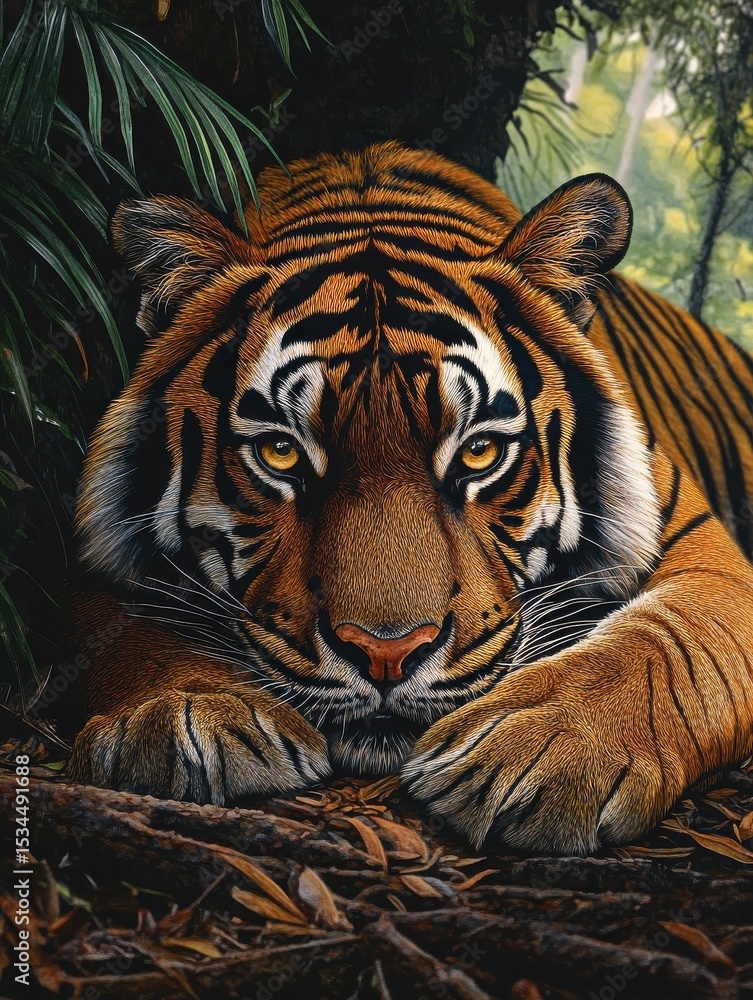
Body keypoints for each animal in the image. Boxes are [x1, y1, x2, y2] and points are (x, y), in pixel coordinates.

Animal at [65, 140, 753, 856]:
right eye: (281, 452)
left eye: (479, 452)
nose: (386, 655)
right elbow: (124, 631)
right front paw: (186, 714)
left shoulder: (702, 550)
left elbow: (662, 645)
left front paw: (541, 752)